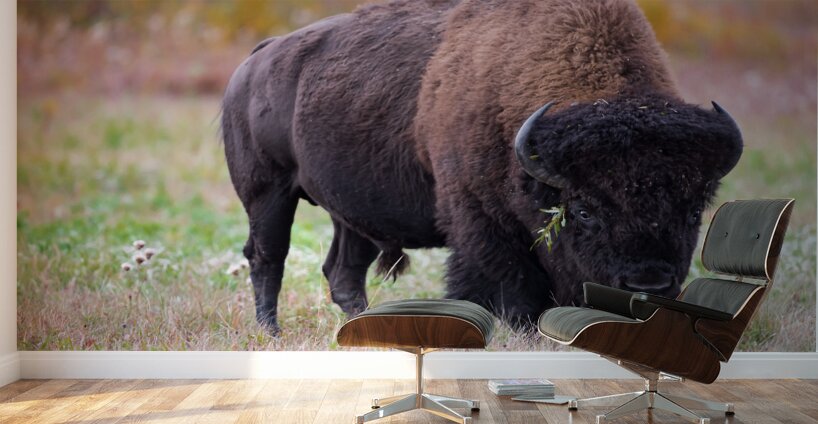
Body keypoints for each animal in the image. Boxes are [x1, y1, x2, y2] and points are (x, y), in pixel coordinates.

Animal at [221, 0, 743, 332]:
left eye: (693, 210)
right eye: (584, 210)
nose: (648, 283)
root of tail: (255, 60)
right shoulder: (480, 220)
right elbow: (504, 283)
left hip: (351, 216)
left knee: (343, 273)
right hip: (268, 194)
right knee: (267, 257)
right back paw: (271, 333)